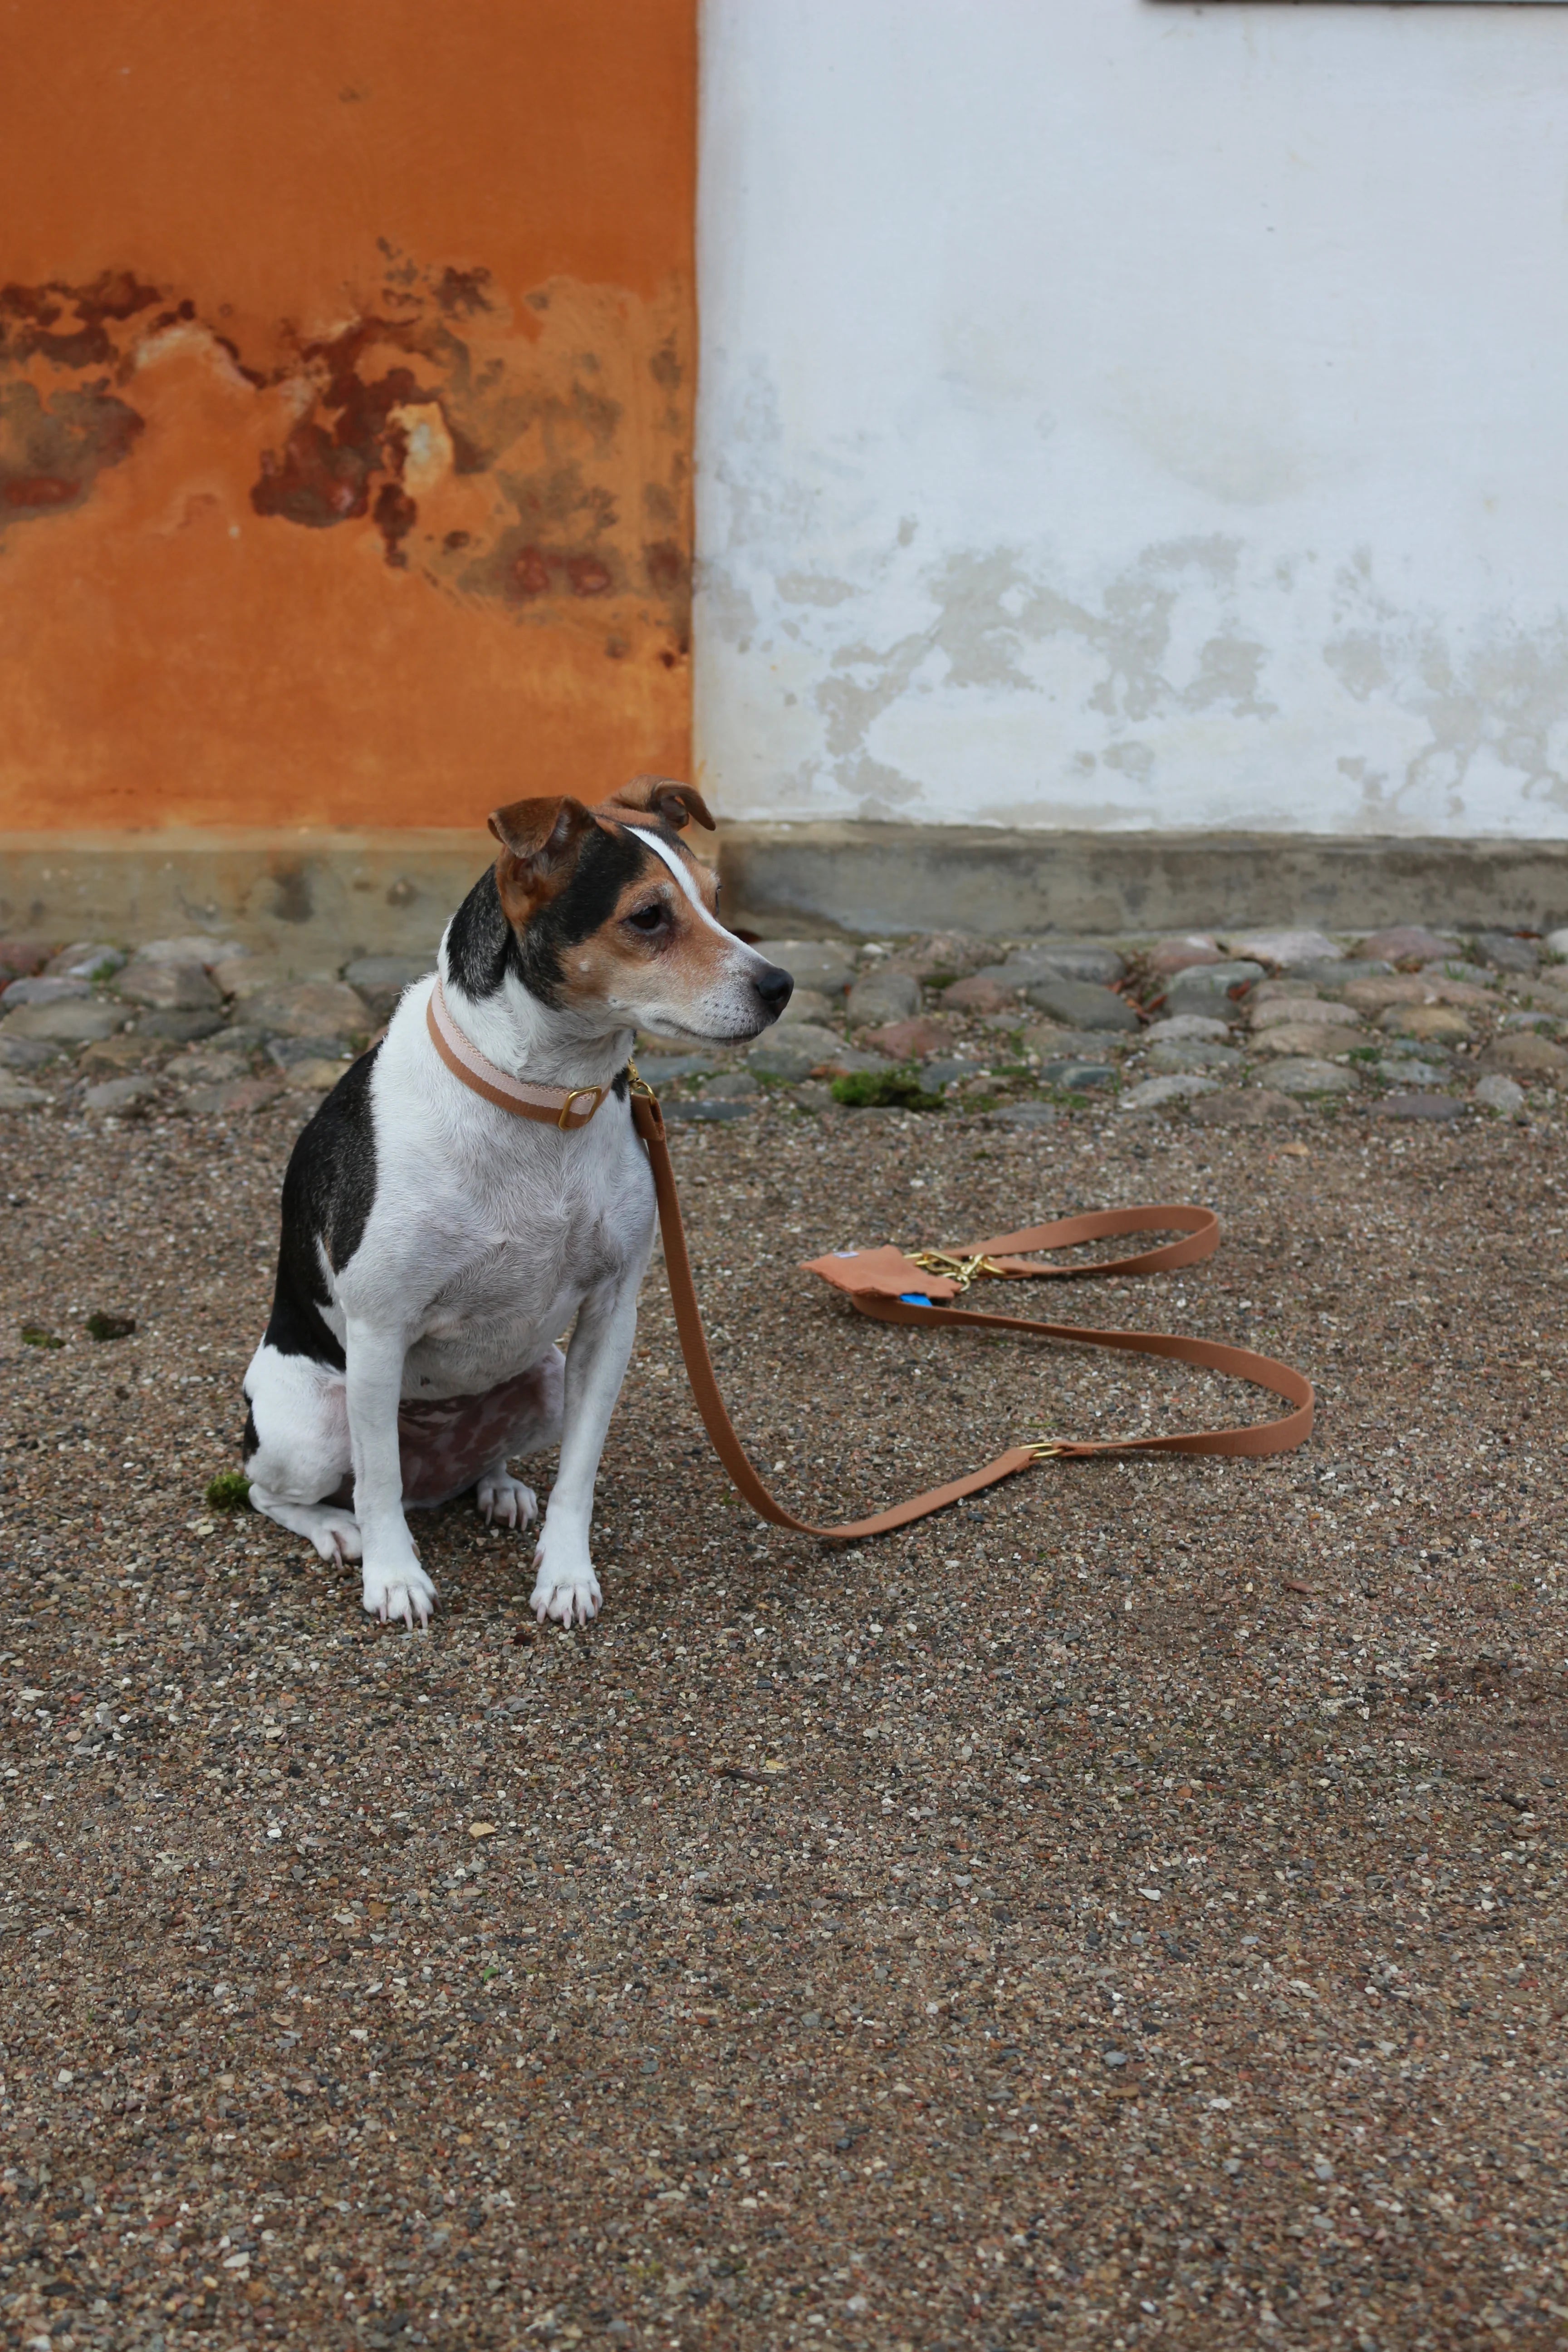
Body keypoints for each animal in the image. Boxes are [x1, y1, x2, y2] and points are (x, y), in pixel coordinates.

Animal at [240, 781, 789, 1627]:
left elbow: (579, 1475)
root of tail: (438, 1474)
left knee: (481, 1463)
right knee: (285, 1490)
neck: (546, 1100)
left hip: (544, 1379)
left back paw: (497, 1487)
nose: (779, 985)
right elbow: (379, 1483)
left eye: (719, 901)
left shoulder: (609, 1318)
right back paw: (338, 1529)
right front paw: (395, 1578)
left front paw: (565, 1573)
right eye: (647, 916)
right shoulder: (380, 1329)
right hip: (310, 1426)